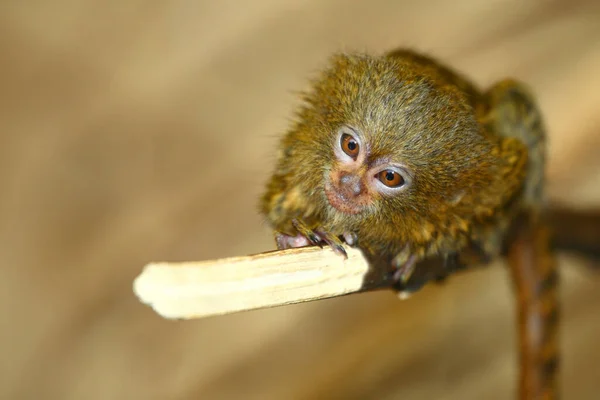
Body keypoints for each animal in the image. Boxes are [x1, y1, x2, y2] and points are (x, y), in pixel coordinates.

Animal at [258, 49, 544, 294]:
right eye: (350, 145)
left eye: (390, 177)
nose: (349, 184)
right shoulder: (293, 163)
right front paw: (300, 237)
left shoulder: (501, 168)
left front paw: (428, 245)